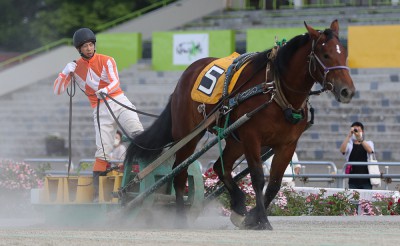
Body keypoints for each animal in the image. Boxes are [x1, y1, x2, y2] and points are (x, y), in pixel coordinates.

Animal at [124, 19, 354, 231]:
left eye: (344, 54)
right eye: (326, 55)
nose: (347, 91)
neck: (275, 92)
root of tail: (185, 76)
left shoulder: (287, 144)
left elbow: (274, 184)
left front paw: (251, 216)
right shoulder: (252, 137)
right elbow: (258, 178)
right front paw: (262, 219)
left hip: (234, 139)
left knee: (220, 166)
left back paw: (238, 203)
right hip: (188, 136)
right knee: (179, 175)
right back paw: (179, 217)